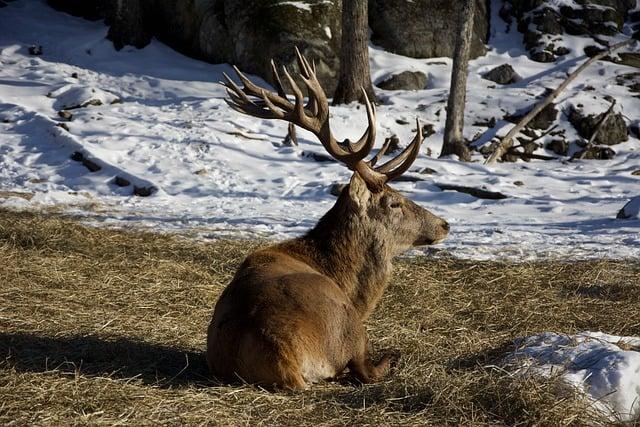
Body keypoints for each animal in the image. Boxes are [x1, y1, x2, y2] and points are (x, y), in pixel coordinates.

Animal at [206, 50, 450, 392]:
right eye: (394, 202)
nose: (444, 224)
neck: (343, 278)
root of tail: (285, 358)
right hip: (347, 325)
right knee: (364, 370)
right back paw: (392, 358)